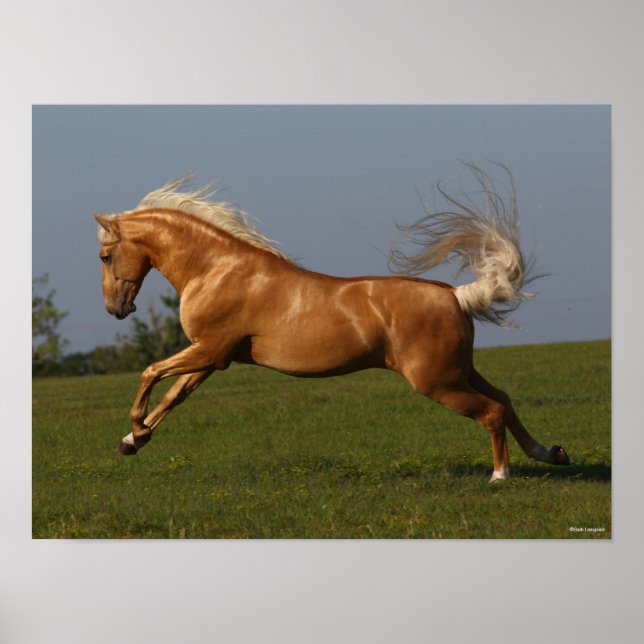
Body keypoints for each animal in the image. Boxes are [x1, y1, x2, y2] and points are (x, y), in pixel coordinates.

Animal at [94, 165, 570, 482]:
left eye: (104, 256)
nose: (116, 309)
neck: (216, 269)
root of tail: (456, 295)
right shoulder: (212, 358)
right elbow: (174, 396)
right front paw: (132, 441)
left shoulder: (209, 350)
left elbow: (150, 372)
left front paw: (135, 430)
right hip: (460, 371)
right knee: (504, 399)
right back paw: (552, 454)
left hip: (437, 381)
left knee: (491, 411)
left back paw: (500, 476)